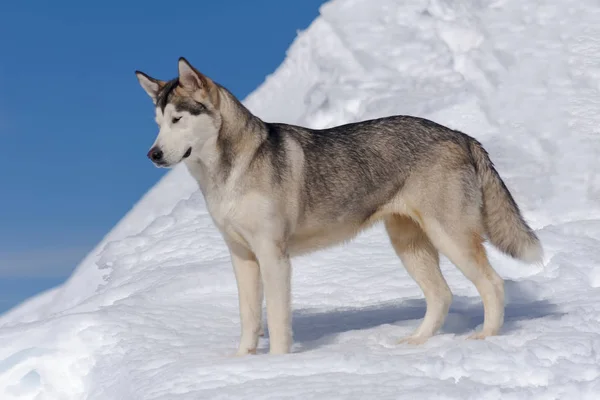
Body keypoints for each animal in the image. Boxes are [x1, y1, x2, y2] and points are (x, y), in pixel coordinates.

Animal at [136, 57, 544, 354]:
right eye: (157, 122)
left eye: (178, 119)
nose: (152, 154)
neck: (229, 172)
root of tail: (461, 135)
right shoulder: (242, 257)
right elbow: (249, 320)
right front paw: (241, 365)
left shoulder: (273, 255)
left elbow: (278, 323)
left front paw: (277, 366)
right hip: (409, 244)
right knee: (441, 295)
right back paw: (414, 344)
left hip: (451, 236)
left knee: (493, 284)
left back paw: (485, 339)